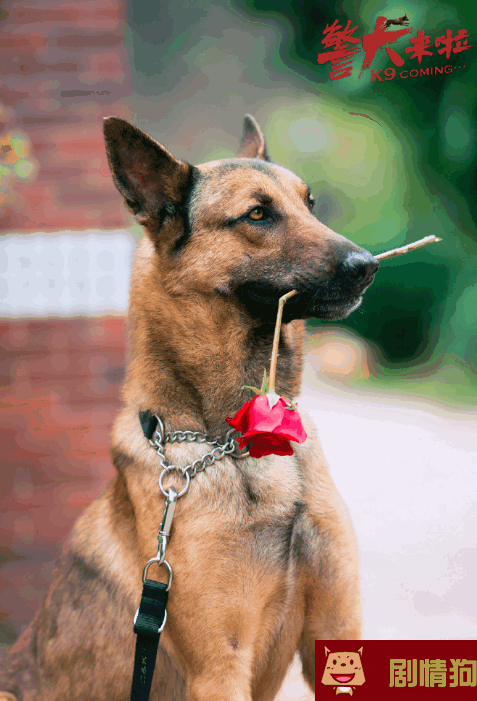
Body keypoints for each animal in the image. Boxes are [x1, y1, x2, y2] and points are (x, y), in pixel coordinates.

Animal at [0, 112, 380, 696]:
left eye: (309, 204)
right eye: (257, 214)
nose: (367, 266)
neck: (241, 443)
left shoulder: (337, 631)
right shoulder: (219, 669)